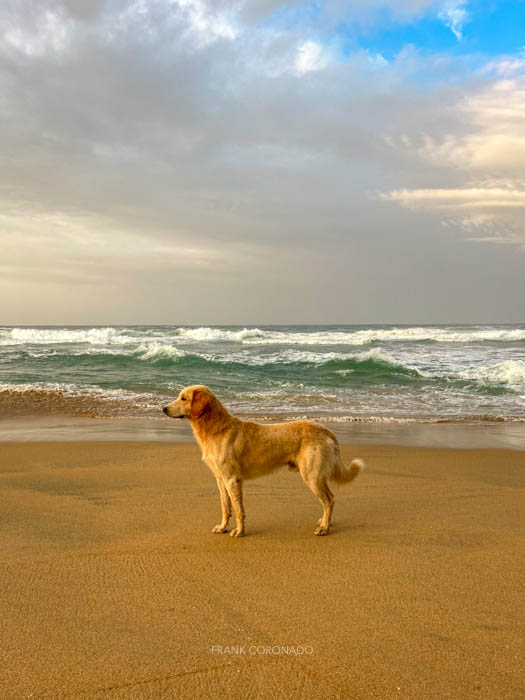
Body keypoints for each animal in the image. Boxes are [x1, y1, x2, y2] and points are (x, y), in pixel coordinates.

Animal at [164, 386, 364, 540]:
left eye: (183, 398)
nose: (163, 408)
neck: (216, 428)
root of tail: (324, 429)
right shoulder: (221, 480)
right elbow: (225, 507)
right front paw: (223, 527)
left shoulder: (232, 480)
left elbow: (238, 509)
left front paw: (239, 531)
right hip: (317, 476)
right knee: (330, 498)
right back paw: (324, 522)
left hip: (311, 476)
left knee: (328, 501)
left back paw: (324, 528)